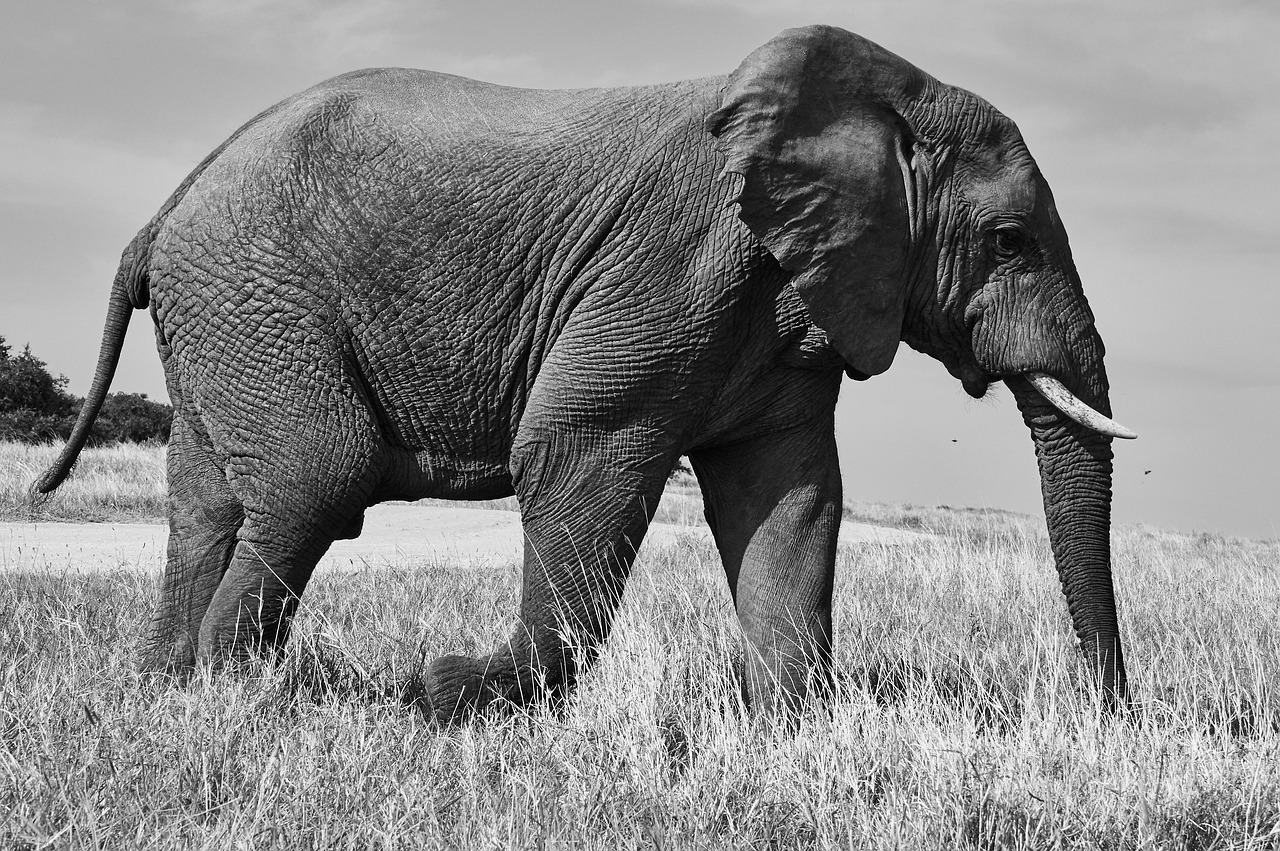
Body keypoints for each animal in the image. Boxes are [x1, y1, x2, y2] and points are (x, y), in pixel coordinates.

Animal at [37, 25, 1135, 720]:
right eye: (1008, 241)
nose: (1111, 711)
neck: (877, 95)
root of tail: (162, 213)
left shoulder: (789, 301)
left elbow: (789, 496)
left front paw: (789, 729)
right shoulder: (671, 264)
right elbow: (576, 452)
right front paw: (448, 694)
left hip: (225, 314)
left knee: (207, 501)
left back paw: (168, 686)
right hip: (259, 294)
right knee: (318, 474)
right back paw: (232, 695)